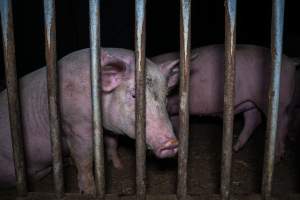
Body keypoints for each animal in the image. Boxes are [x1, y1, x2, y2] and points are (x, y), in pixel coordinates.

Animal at [0, 47, 178, 193]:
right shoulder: (75, 125)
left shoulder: (109, 127)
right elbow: (84, 158)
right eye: (134, 95)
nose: (172, 143)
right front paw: (89, 191)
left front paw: (119, 166)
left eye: (165, 97)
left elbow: (112, 143)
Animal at [154, 44, 298, 160]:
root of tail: (291, 61)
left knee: (281, 121)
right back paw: (236, 148)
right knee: (254, 119)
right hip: (250, 102)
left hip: (278, 101)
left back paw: (277, 156)